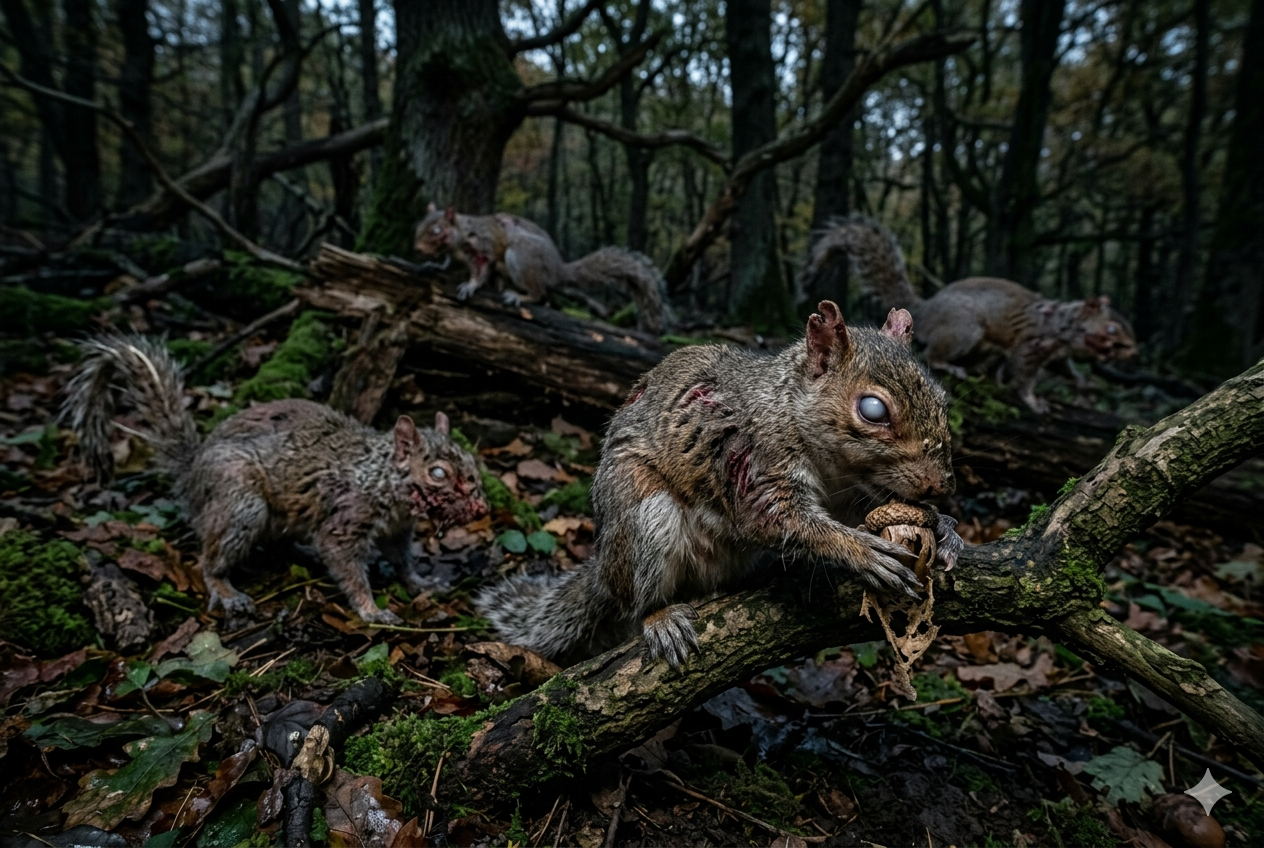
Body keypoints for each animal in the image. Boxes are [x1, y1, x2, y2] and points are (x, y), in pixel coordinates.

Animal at [61, 336, 489, 626]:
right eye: (438, 473)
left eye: (471, 459)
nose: (481, 506)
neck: (381, 478)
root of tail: (192, 476)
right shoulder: (345, 520)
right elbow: (349, 568)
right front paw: (372, 610)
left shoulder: (398, 530)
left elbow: (402, 561)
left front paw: (422, 582)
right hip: (240, 504)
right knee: (209, 560)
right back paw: (227, 591)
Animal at [415, 203, 672, 336]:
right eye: (420, 224)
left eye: (437, 230)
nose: (417, 247)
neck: (460, 236)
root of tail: (557, 270)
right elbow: (447, 262)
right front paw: (434, 264)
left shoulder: (484, 248)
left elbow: (482, 271)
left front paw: (470, 285)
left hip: (519, 257)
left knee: (540, 294)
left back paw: (519, 295)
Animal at [477, 301, 963, 667]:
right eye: (872, 410)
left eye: (942, 400)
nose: (941, 486)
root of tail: (602, 570)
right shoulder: (754, 463)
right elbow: (784, 521)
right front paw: (863, 551)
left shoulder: (856, 491)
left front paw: (943, 527)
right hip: (640, 515)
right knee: (637, 602)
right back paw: (661, 619)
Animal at [800, 216, 1138, 413]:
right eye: (1111, 329)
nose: (1132, 351)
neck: (1062, 325)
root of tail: (927, 308)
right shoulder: (1033, 344)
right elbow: (1023, 375)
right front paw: (1033, 400)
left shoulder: (1057, 355)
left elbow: (1066, 371)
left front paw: (1083, 384)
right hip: (965, 330)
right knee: (933, 355)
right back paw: (957, 368)